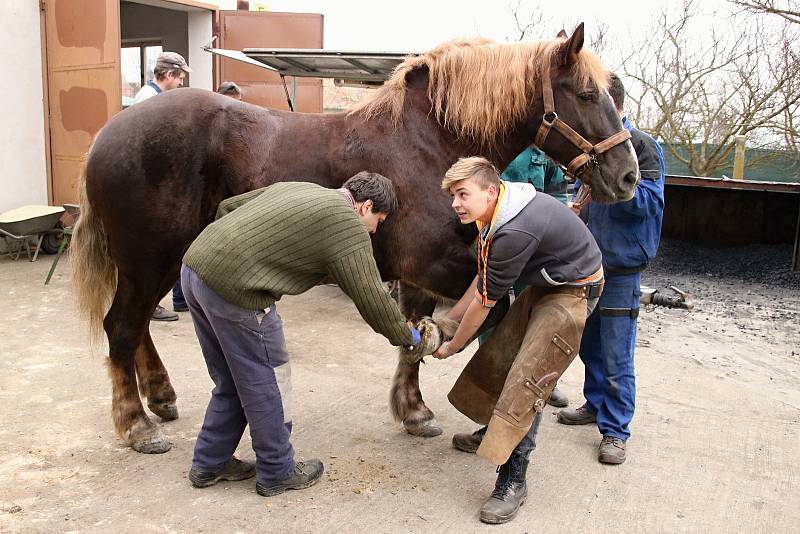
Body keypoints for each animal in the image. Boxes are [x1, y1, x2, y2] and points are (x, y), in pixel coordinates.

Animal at [73, 23, 636, 454]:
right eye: (587, 94)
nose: (629, 175)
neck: (428, 143)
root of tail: (108, 134)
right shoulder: (436, 266)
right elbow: (483, 319)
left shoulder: (418, 277)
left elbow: (413, 337)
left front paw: (414, 411)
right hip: (148, 258)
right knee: (122, 327)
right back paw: (138, 425)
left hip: (162, 260)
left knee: (137, 327)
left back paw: (160, 398)